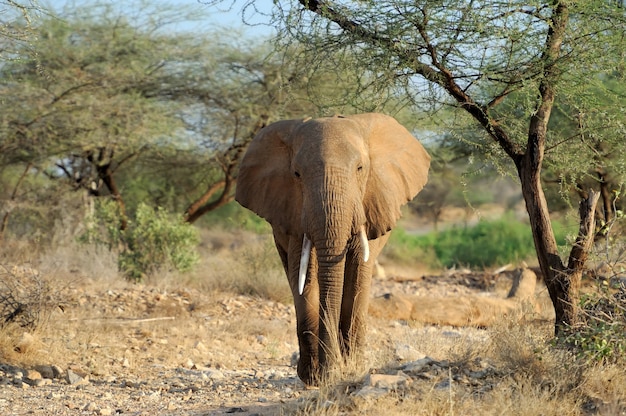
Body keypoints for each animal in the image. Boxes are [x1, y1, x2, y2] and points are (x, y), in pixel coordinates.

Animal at [234, 112, 428, 386]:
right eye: (296, 174)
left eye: (360, 169)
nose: (332, 370)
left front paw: (351, 369)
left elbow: (358, 271)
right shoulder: (295, 213)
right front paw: (317, 378)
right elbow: (305, 274)